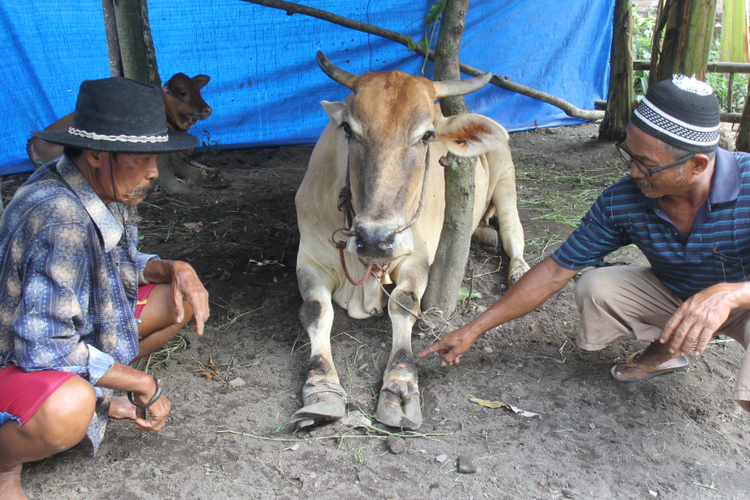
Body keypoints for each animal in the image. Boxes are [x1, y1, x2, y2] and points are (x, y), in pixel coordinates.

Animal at [290, 53, 532, 430]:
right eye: (349, 129)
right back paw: (486, 235)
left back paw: (518, 269)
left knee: (512, 227)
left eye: (427, 135)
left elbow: (403, 305)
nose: (376, 239)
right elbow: (316, 309)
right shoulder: (309, 260)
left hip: (507, 177)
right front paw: (321, 387)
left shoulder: (415, 257)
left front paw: (401, 385)